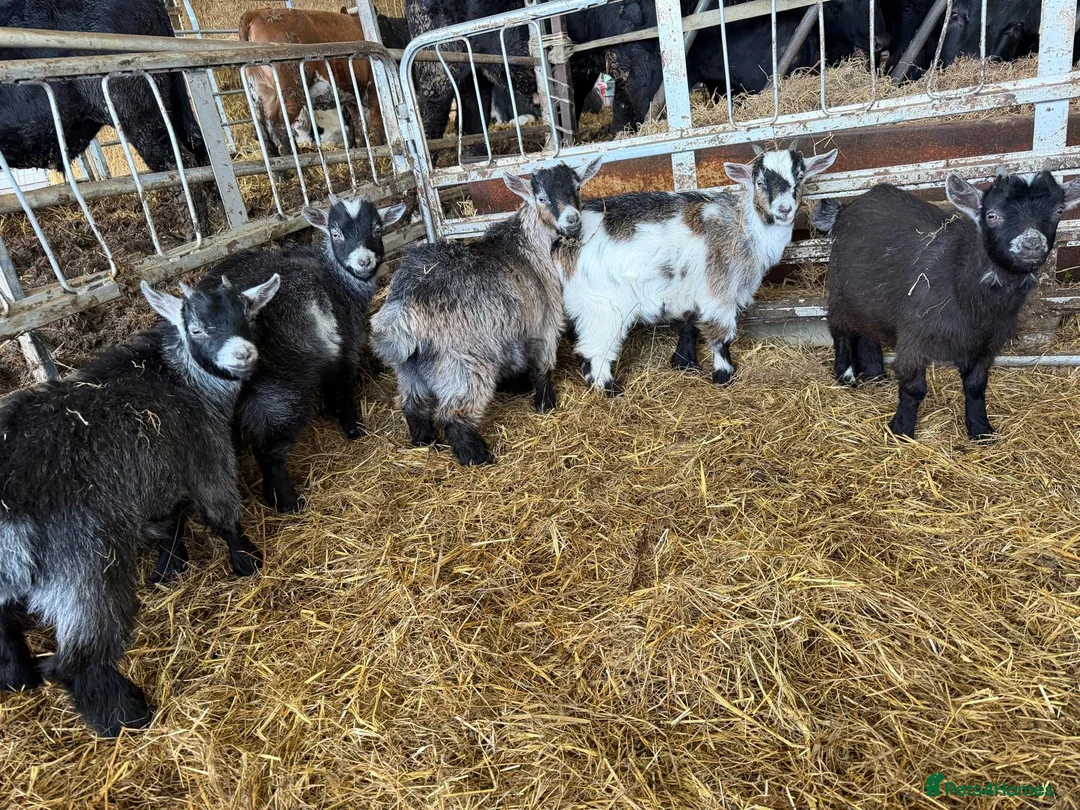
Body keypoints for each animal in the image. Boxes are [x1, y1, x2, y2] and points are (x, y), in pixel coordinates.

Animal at [0, 274, 280, 736]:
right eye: (196, 329)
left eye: (249, 316)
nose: (245, 354)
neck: (177, 376)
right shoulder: (204, 446)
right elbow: (220, 507)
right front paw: (245, 557)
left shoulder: (154, 474)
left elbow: (169, 518)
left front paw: (170, 566)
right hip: (85, 565)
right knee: (74, 659)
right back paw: (123, 715)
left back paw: (16, 677)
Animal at [194, 196, 406, 513]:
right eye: (335, 233)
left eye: (377, 230)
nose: (364, 261)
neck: (336, 277)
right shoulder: (346, 341)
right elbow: (343, 383)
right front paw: (352, 427)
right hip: (281, 388)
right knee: (269, 450)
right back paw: (287, 502)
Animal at [371, 158, 603, 466]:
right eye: (541, 197)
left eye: (577, 187)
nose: (572, 219)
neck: (530, 246)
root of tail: (402, 309)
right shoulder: (544, 322)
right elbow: (542, 365)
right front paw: (545, 402)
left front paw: (518, 385)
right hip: (464, 366)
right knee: (454, 415)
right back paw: (478, 457)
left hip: (409, 370)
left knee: (414, 407)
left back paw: (426, 443)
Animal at [560, 145, 837, 395]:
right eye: (759, 182)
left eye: (800, 177)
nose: (784, 209)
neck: (744, 227)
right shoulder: (720, 291)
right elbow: (721, 337)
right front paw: (724, 375)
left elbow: (690, 322)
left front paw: (686, 362)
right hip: (603, 306)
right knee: (594, 350)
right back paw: (611, 389)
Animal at [813, 170, 1080, 440]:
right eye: (991, 215)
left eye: (1058, 211)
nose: (1032, 245)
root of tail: (848, 206)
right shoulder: (914, 338)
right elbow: (914, 389)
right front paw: (901, 430)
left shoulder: (986, 345)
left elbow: (975, 386)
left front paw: (980, 430)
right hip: (838, 290)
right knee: (840, 328)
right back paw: (846, 373)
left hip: (867, 297)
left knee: (868, 330)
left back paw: (875, 375)